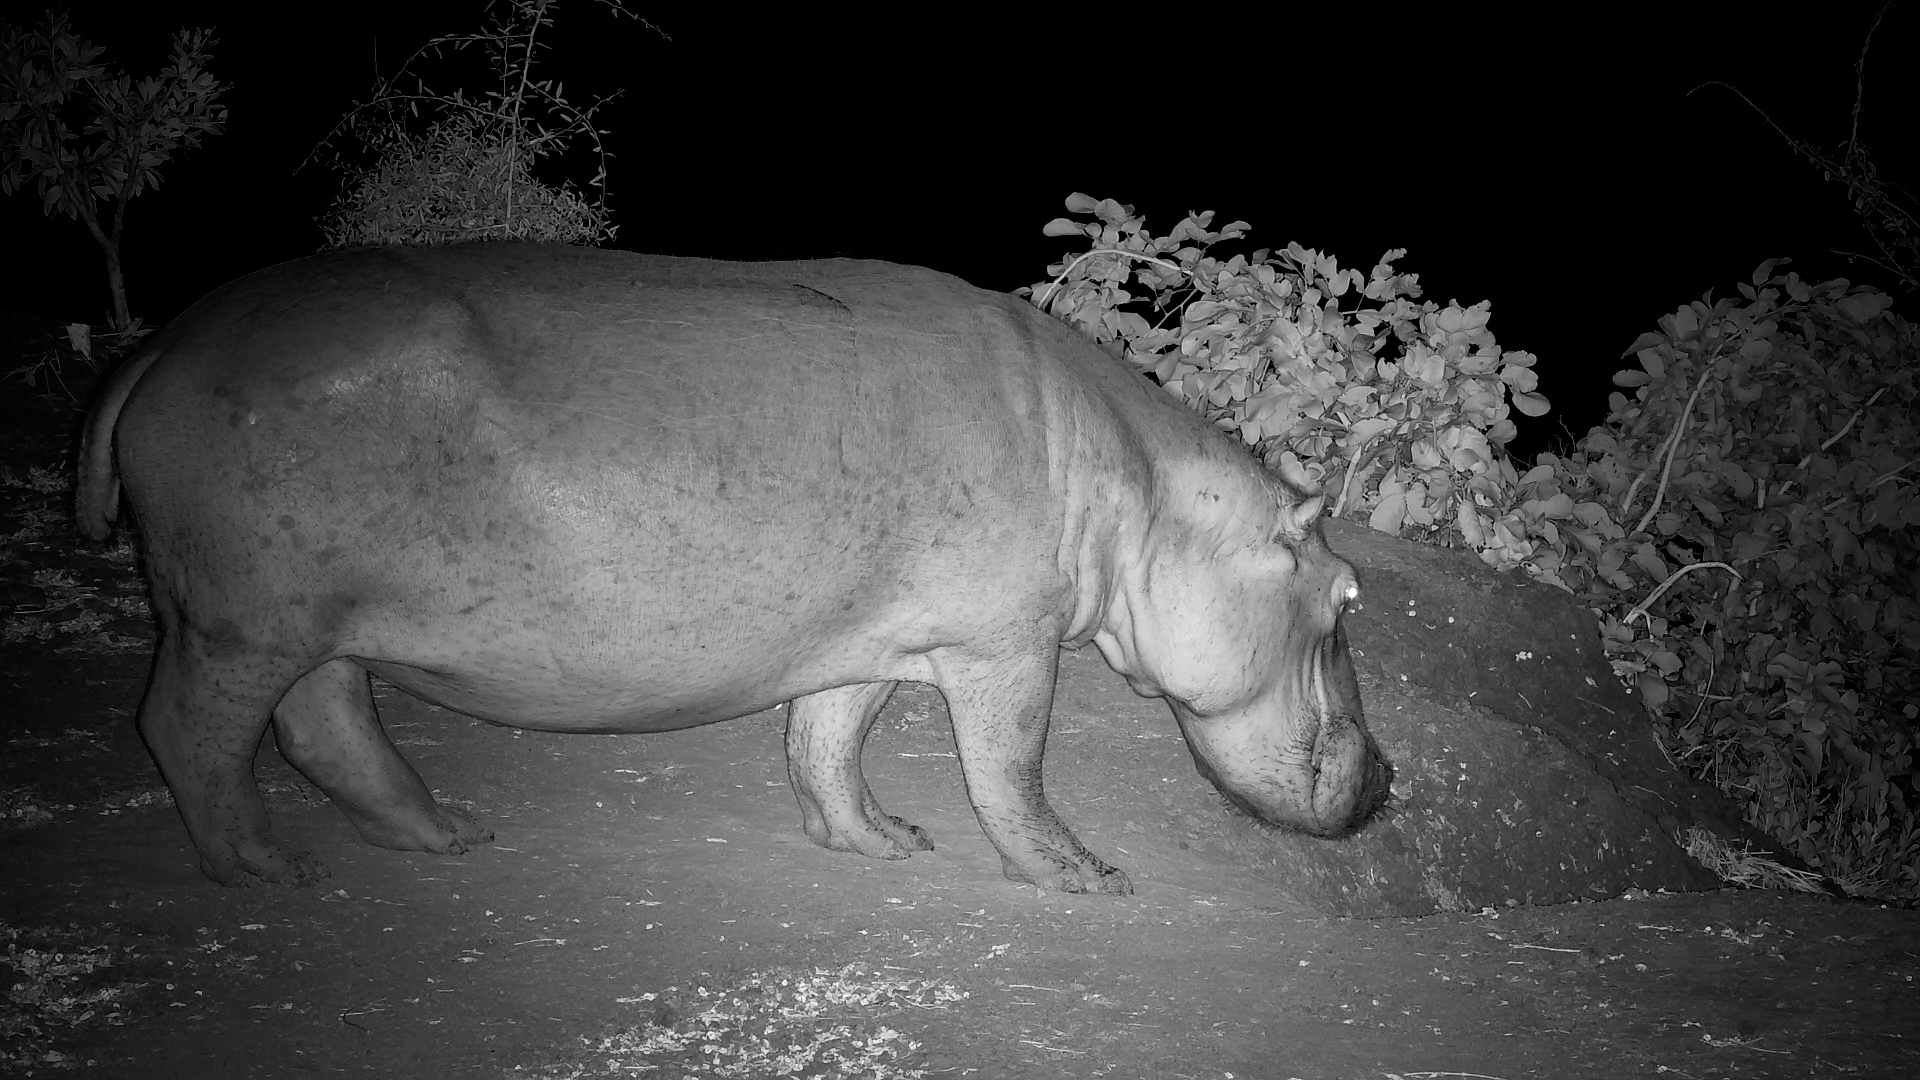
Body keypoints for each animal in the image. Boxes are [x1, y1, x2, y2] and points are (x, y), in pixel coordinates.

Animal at [75, 244, 1386, 895]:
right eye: (1343, 600)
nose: (1386, 784)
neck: (1146, 496)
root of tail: (167, 348)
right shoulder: (1003, 646)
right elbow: (1013, 771)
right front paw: (1090, 879)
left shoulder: (870, 637)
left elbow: (826, 742)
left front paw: (886, 844)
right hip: (237, 622)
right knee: (190, 729)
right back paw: (265, 870)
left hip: (303, 621)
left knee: (325, 725)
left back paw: (443, 837)